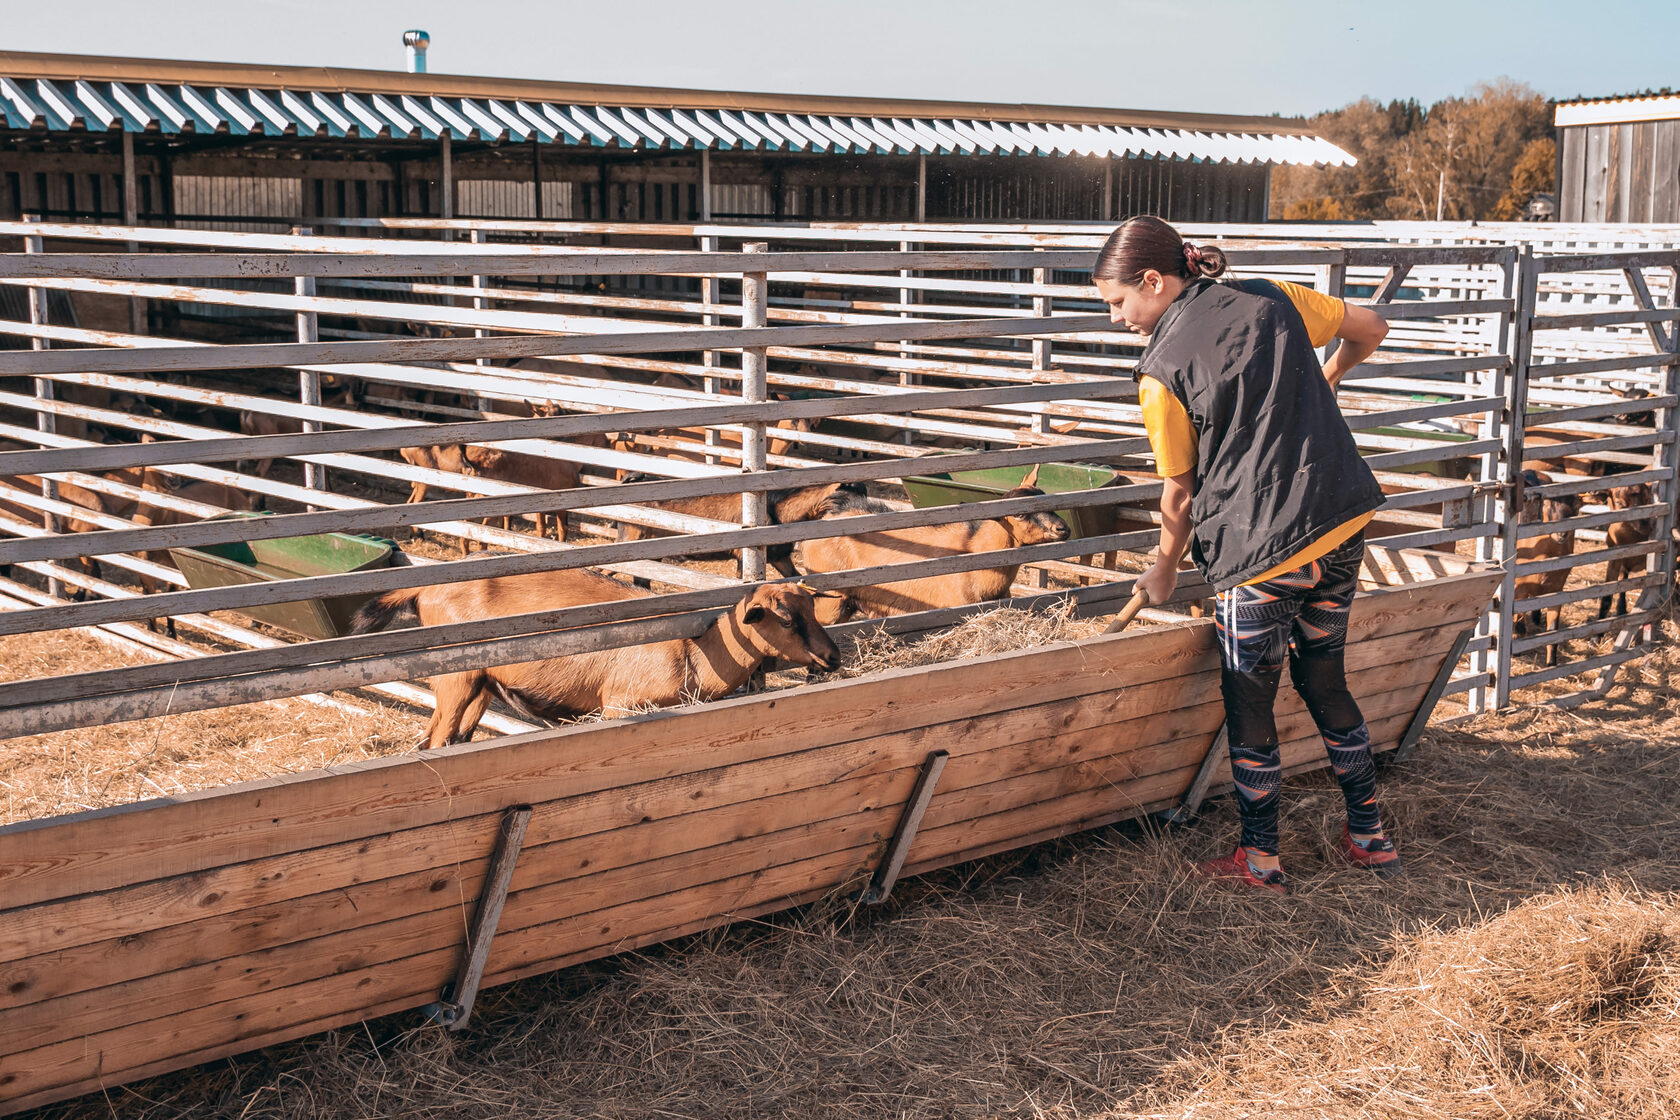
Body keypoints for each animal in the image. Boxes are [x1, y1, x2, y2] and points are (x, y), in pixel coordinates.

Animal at [352, 574, 840, 748]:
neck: (694, 652)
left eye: (812, 609)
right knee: (437, 742)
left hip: (479, 685)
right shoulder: (619, 707)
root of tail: (425, 588)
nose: (833, 658)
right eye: (785, 619)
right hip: (456, 678)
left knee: (442, 738)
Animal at [1518, 466, 1579, 664]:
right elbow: (1519, 622)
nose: (1562, 533)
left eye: (1577, 506)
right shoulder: (1518, 588)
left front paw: (1551, 664)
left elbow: (1553, 630)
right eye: (1547, 504)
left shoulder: (1556, 589)